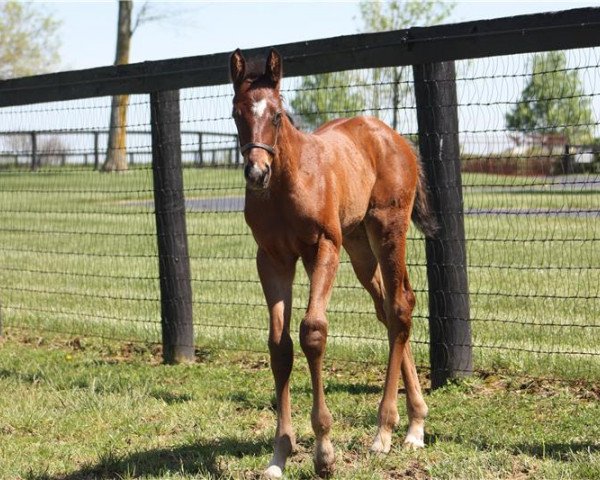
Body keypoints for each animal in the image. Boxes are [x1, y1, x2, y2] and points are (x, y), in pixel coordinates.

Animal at [230, 48, 436, 476]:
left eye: (277, 114)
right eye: (237, 113)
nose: (257, 173)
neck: (288, 183)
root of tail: (395, 138)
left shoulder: (323, 248)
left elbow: (313, 332)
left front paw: (324, 450)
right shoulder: (272, 259)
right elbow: (279, 346)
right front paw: (280, 452)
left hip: (387, 229)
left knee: (399, 306)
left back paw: (385, 431)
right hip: (358, 246)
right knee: (391, 310)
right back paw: (415, 423)